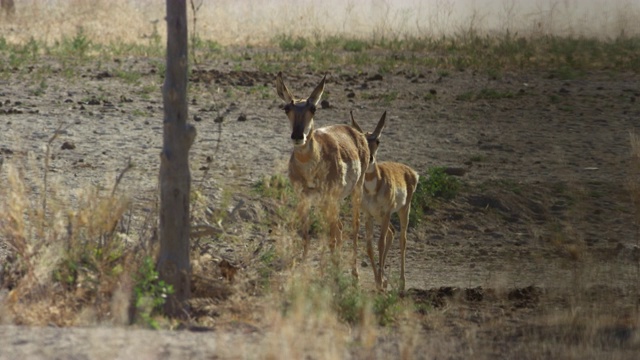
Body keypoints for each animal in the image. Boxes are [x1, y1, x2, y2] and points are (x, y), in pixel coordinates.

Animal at [276, 71, 370, 278]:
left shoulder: (329, 198)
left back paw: (354, 273)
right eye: (287, 108)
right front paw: (304, 267)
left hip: (354, 192)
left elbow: (330, 236)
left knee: (353, 227)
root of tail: (354, 132)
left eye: (313, 108)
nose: (298, 136)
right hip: (329, 202)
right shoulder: (304, 198)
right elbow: (306, 234)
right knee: (339, 229)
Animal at [350, 111, 420, 292]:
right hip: (381, 217)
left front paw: (380, 282)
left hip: (403, 210)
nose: (370, 158)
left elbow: (380, 244)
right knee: (392, 233)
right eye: (361, 140)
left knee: (402, 239)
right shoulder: (368, 214)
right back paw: (387, 280)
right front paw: (379, 280)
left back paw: (401, 283)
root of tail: (411, 172)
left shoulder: (387, 212)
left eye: (377, 140)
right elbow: (369, 246)